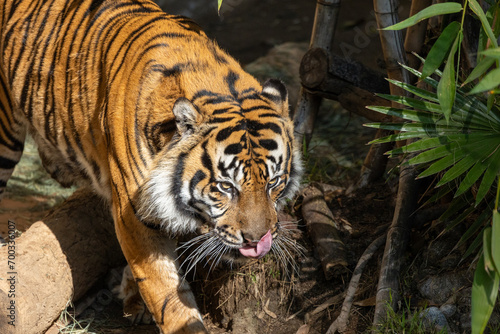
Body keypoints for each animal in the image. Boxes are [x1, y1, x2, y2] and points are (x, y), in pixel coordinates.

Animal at [0, 0, 302, 332]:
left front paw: (133, 300)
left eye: (274, 182)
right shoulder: (134, 214)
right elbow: (166, 289)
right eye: (225, 187)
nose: (258, 241)